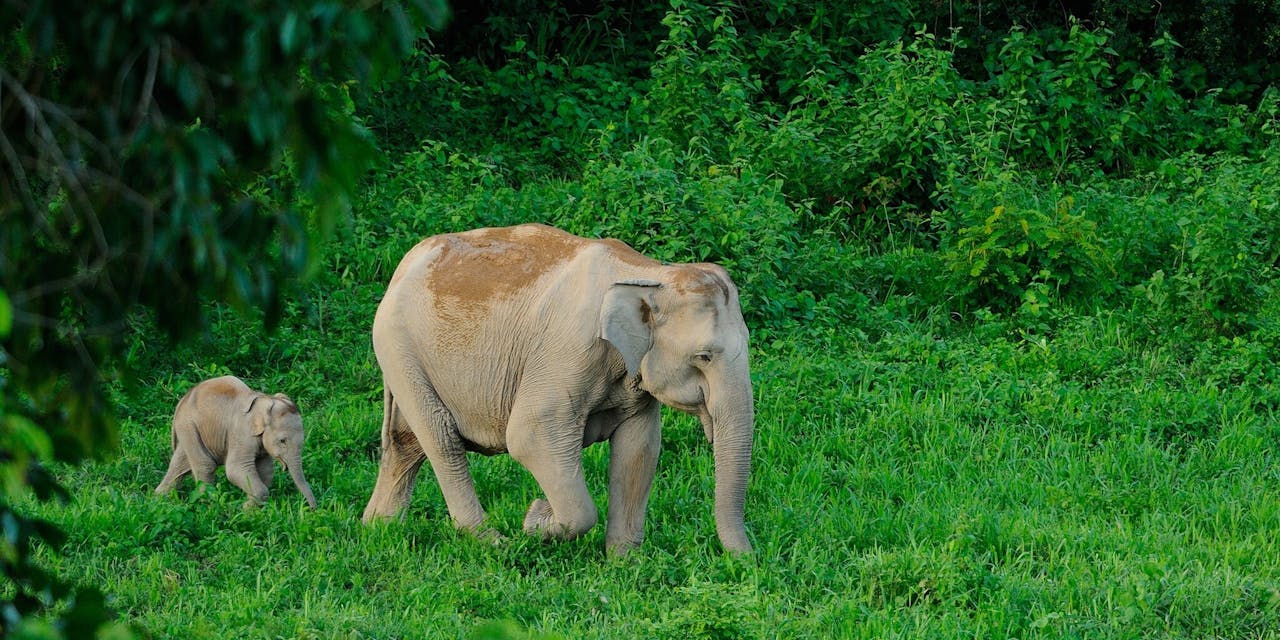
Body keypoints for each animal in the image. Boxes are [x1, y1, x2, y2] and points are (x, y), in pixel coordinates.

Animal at [155, 375, 318, 509]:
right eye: (282, 441)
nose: (312, 509)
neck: (266, 400)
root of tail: (181, 402)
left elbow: (266, 470)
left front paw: (251, 508)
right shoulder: (242, 433)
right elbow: (235, 469)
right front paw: (245, 510)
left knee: (180, 463)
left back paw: (159, 498)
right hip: (188, 426)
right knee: (205, 464)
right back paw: (208, 504)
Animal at [361, 223, 755, 554]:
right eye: (704, 356)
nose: (749, 562)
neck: (650, 273)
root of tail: (404, 264)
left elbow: (640, 449)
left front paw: (625, 564)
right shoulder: (567, 352)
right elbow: (529, 436)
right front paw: (535, 519)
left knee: (405, 442)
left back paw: (379, 530)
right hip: (399, 345)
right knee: (440, 438)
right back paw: (494, 542)